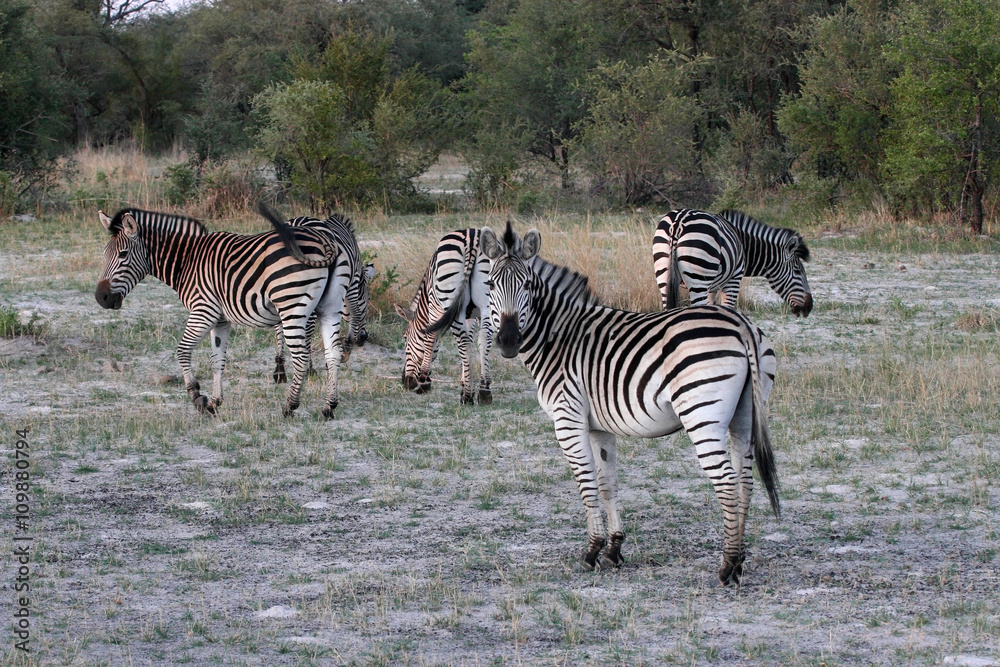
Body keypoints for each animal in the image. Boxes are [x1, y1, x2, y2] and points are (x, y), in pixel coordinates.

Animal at [95, 204, 353, 418]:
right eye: (105, 254)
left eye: (123, 255)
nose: (101, 298)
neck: (187, 261)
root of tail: (324, 239)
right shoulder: (220, 320)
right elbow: (217, 360)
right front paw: (215, 402)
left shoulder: (203, 310)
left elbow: (182, 351)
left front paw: (197, 397)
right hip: (330, 308)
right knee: (333, 353)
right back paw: (329, 407)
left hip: (291, 306)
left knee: (301, 357)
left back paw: (290, 406)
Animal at [271, 214, 375, 386]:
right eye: (368, 300)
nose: (364, 339)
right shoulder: (351, 284)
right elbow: (353, 314)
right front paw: (344, 352)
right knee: (306, 329)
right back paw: (309, 369)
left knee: (280, 326)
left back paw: (280, 369)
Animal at [393, 228, 493, 405]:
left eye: (405, 338)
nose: (406, 382)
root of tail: (471, 239)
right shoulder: (471, 314)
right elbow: (471, 342)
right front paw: (465, 382)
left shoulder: (434, 305)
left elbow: (430, 338)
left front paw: (424, 381)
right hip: (487, 301)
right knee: (483, 337)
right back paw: (484, 391)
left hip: (449, 298)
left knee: (462, 340)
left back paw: (467, 397)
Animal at [481, 221, 779, 585]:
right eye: (491, 284)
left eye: (526, 285)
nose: (509, 341)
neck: (558, 338)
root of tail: (740, 323)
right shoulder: (599, 427)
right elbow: (608, 483)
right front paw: (614, 549)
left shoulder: (567, 420)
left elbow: (586, 484)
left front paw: (591, 552)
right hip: (745, 413)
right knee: (745, 480)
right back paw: (740, 560)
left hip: (702, 415)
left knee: (726, 481)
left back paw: (727, 566)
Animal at [653, 208, 813, 316]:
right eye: (798, 271)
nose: (809, 307)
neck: (743, 244)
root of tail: (678, 222)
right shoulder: (733, 280)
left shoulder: (713, 286)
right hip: (698, 279)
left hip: (663, 273)